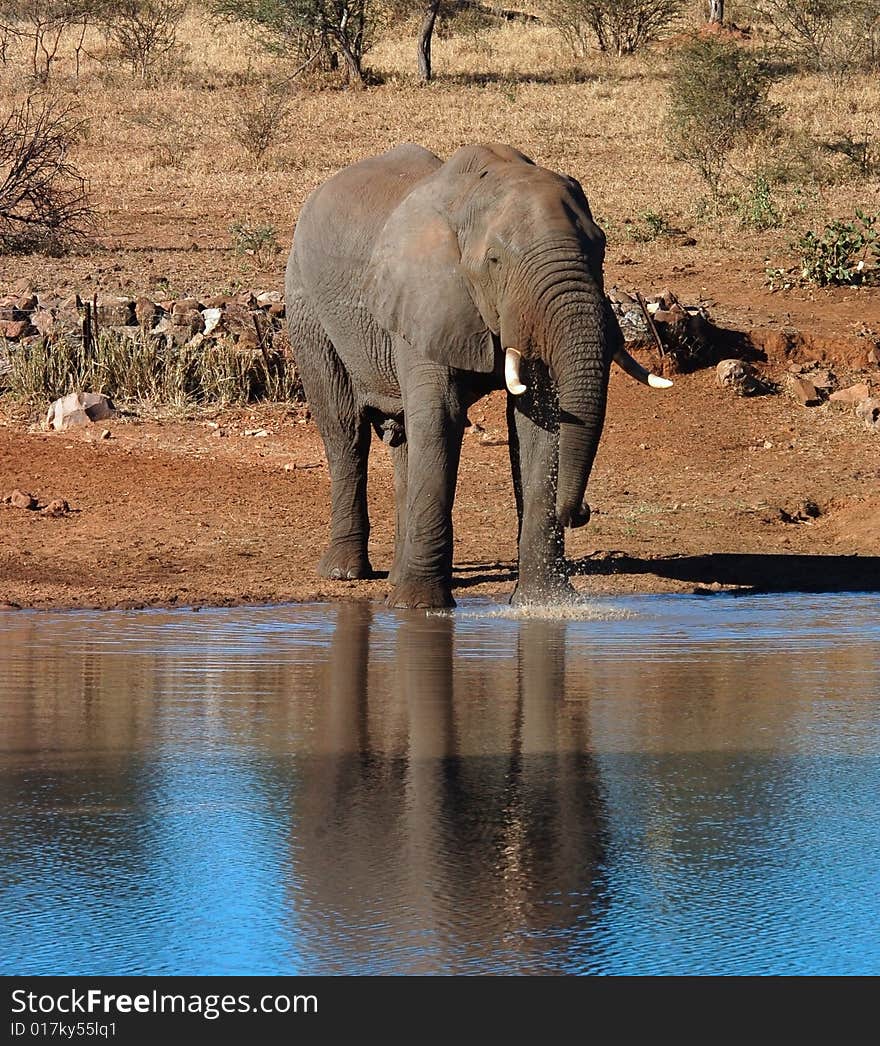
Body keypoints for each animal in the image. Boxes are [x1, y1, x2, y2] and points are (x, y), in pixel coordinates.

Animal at [284, 143, 669, 610]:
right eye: (495, 260)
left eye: (600, 248)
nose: (581, 513)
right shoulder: (426, 297)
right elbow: (441, 417)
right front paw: (420, 607)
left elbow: (541, 422)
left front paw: (543, 604)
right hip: (306, 305)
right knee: (344, 429)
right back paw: (345, 574)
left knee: (404, 439)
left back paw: (395, 576)